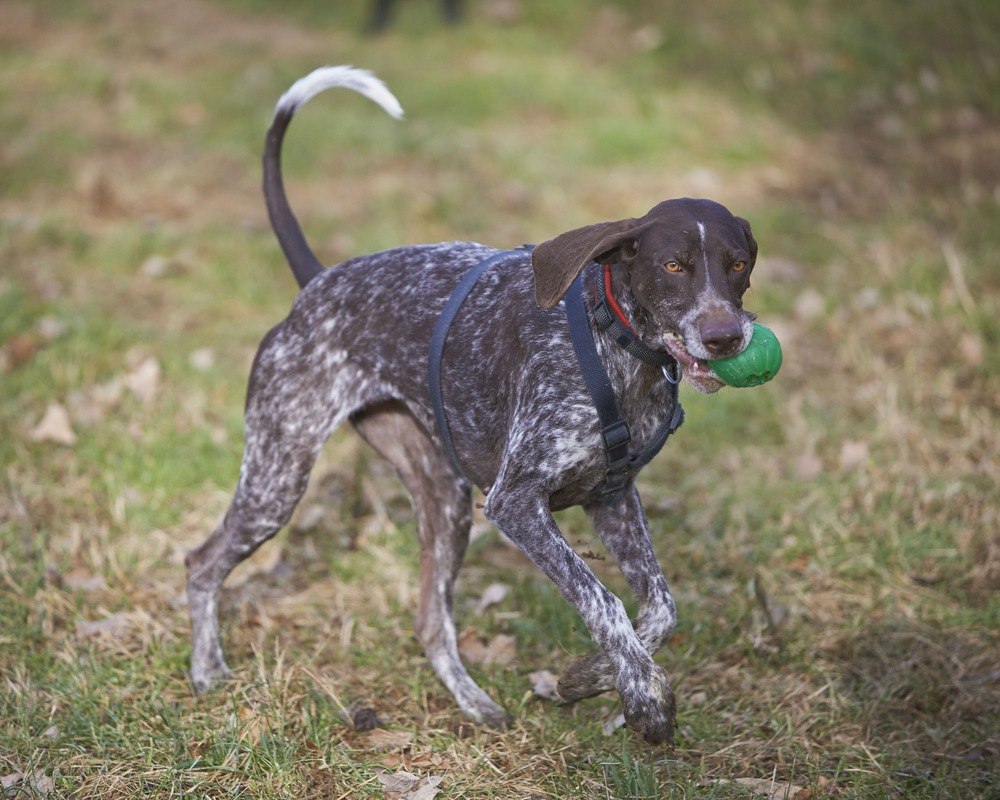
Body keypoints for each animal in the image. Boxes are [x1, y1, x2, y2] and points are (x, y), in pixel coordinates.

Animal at [186, 65, 756, 748]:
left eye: (738, 265)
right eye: (673, 265)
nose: (726, 337)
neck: (617, 349)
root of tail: (316, 285)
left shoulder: (612, 498)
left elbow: (661, 609)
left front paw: (588, 677)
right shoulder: (515, 503)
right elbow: (605, 601)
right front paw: (644, 696)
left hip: (444, 501)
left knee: (430, 622)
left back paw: (477, 705)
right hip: (278, 476)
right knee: (201, 563)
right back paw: (206, 670)